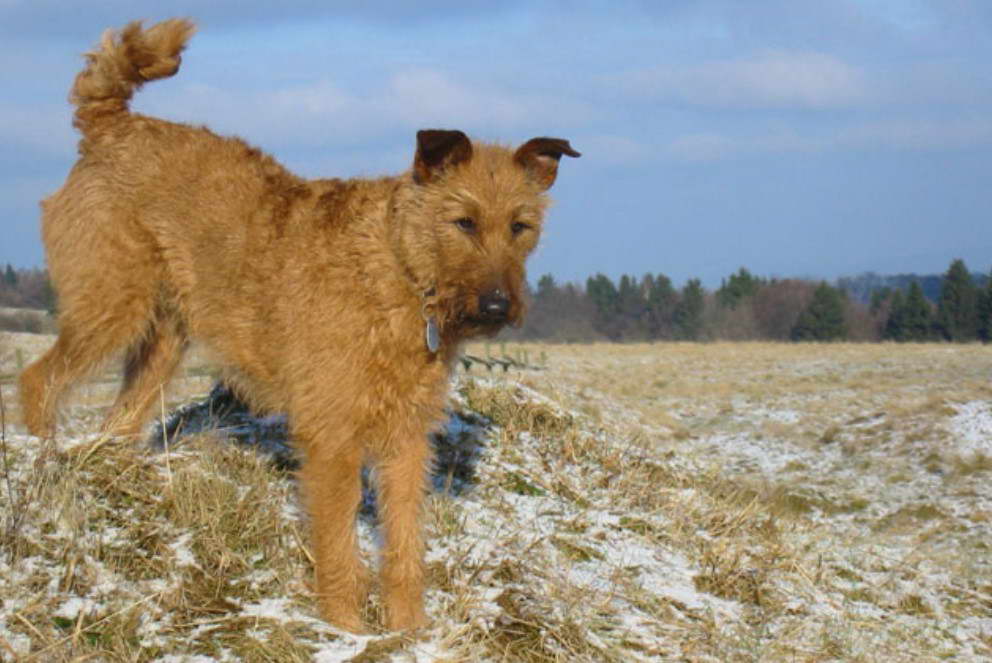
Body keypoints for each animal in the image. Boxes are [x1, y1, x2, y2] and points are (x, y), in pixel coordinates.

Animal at [17, 19, 580, 632]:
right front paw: (346, 629)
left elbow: (404, 545)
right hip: (111, 305)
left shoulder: (407, 439)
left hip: (163, 339)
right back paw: (43, 463)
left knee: (118, 418)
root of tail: (112, 125)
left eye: (520, 226)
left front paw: (407, 631)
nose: (499, 306)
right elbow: (337, 544)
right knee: (38, 378)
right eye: (464, 222)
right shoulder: (331, 437)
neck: (397, 268)